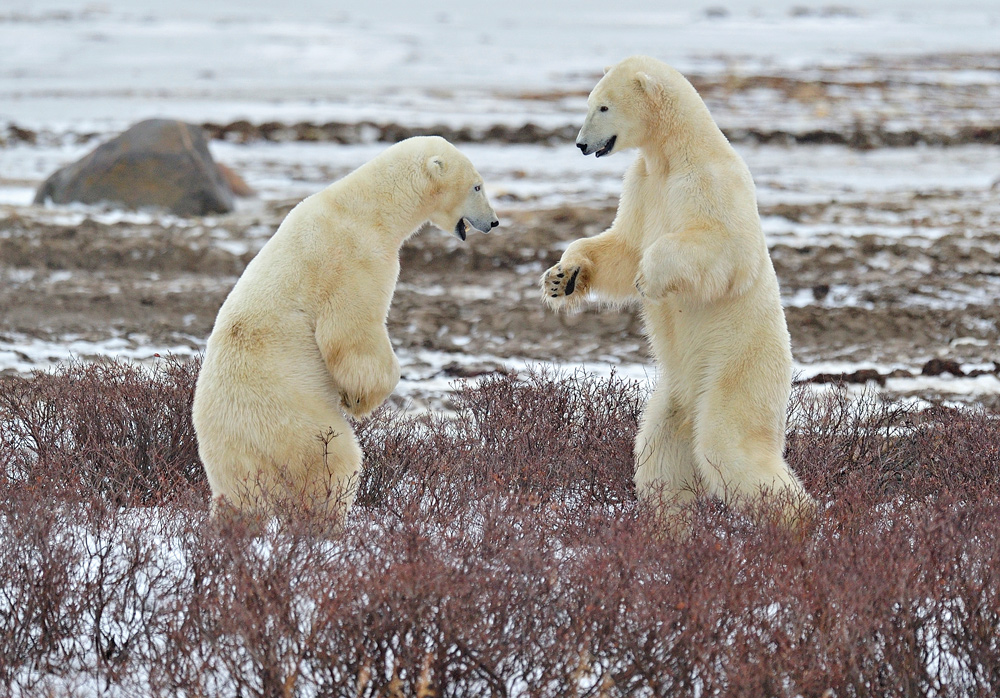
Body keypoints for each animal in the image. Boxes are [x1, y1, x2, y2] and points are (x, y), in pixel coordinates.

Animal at [190, 135, 496, 516]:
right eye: (477, 185)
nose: (494, 222)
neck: (367, 208)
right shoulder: (354, 259)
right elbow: (349, 330)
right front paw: (361, 398)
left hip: (230, 455)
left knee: (238, 498)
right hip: (296, 420)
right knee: (333, 464)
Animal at [544, 57, 816, 524]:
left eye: (603, 106)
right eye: (591, 102)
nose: (580, 144)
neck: (673, 153)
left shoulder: (710, 182)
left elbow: (728, 248)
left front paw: (649, 276)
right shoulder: (642, 184)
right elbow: (623, 245)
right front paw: (563, 276)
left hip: (736, 366)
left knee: (728, 443)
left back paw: (800, 520)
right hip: (672, 396)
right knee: (658, 459)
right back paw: (670, 526)